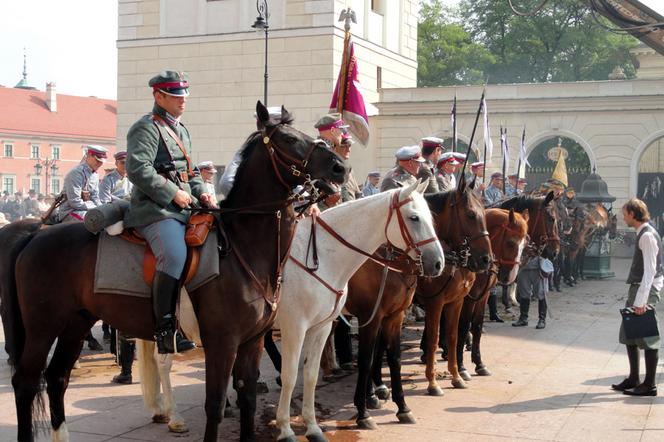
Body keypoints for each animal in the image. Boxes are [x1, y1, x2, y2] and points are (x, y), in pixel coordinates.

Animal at [0, 102, 350, 442]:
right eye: (289, 139)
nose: (341, 167)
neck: (241, 247)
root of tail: (36, 233)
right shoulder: (222, 341)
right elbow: (215, 404)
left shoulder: (252, 341)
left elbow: (247, 396)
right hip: (43, 326)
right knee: (26, 381)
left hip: (76, 321)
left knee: (56, 377)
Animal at [274, 180, 446, 442]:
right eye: (414, 217)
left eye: (431, 216)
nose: (437, 263)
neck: (321, 257)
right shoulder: (296, 326)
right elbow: (293, 374)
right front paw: (285, 428)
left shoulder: (327, 324)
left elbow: (312, 374)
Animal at [342, 180, 492, 428]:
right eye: (471, 215)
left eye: (485, 213)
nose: (486, 260)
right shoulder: (432, 304)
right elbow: (432, 340)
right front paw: (433, 383)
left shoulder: (454, 302)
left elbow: (453, 336)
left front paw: (456, 375)